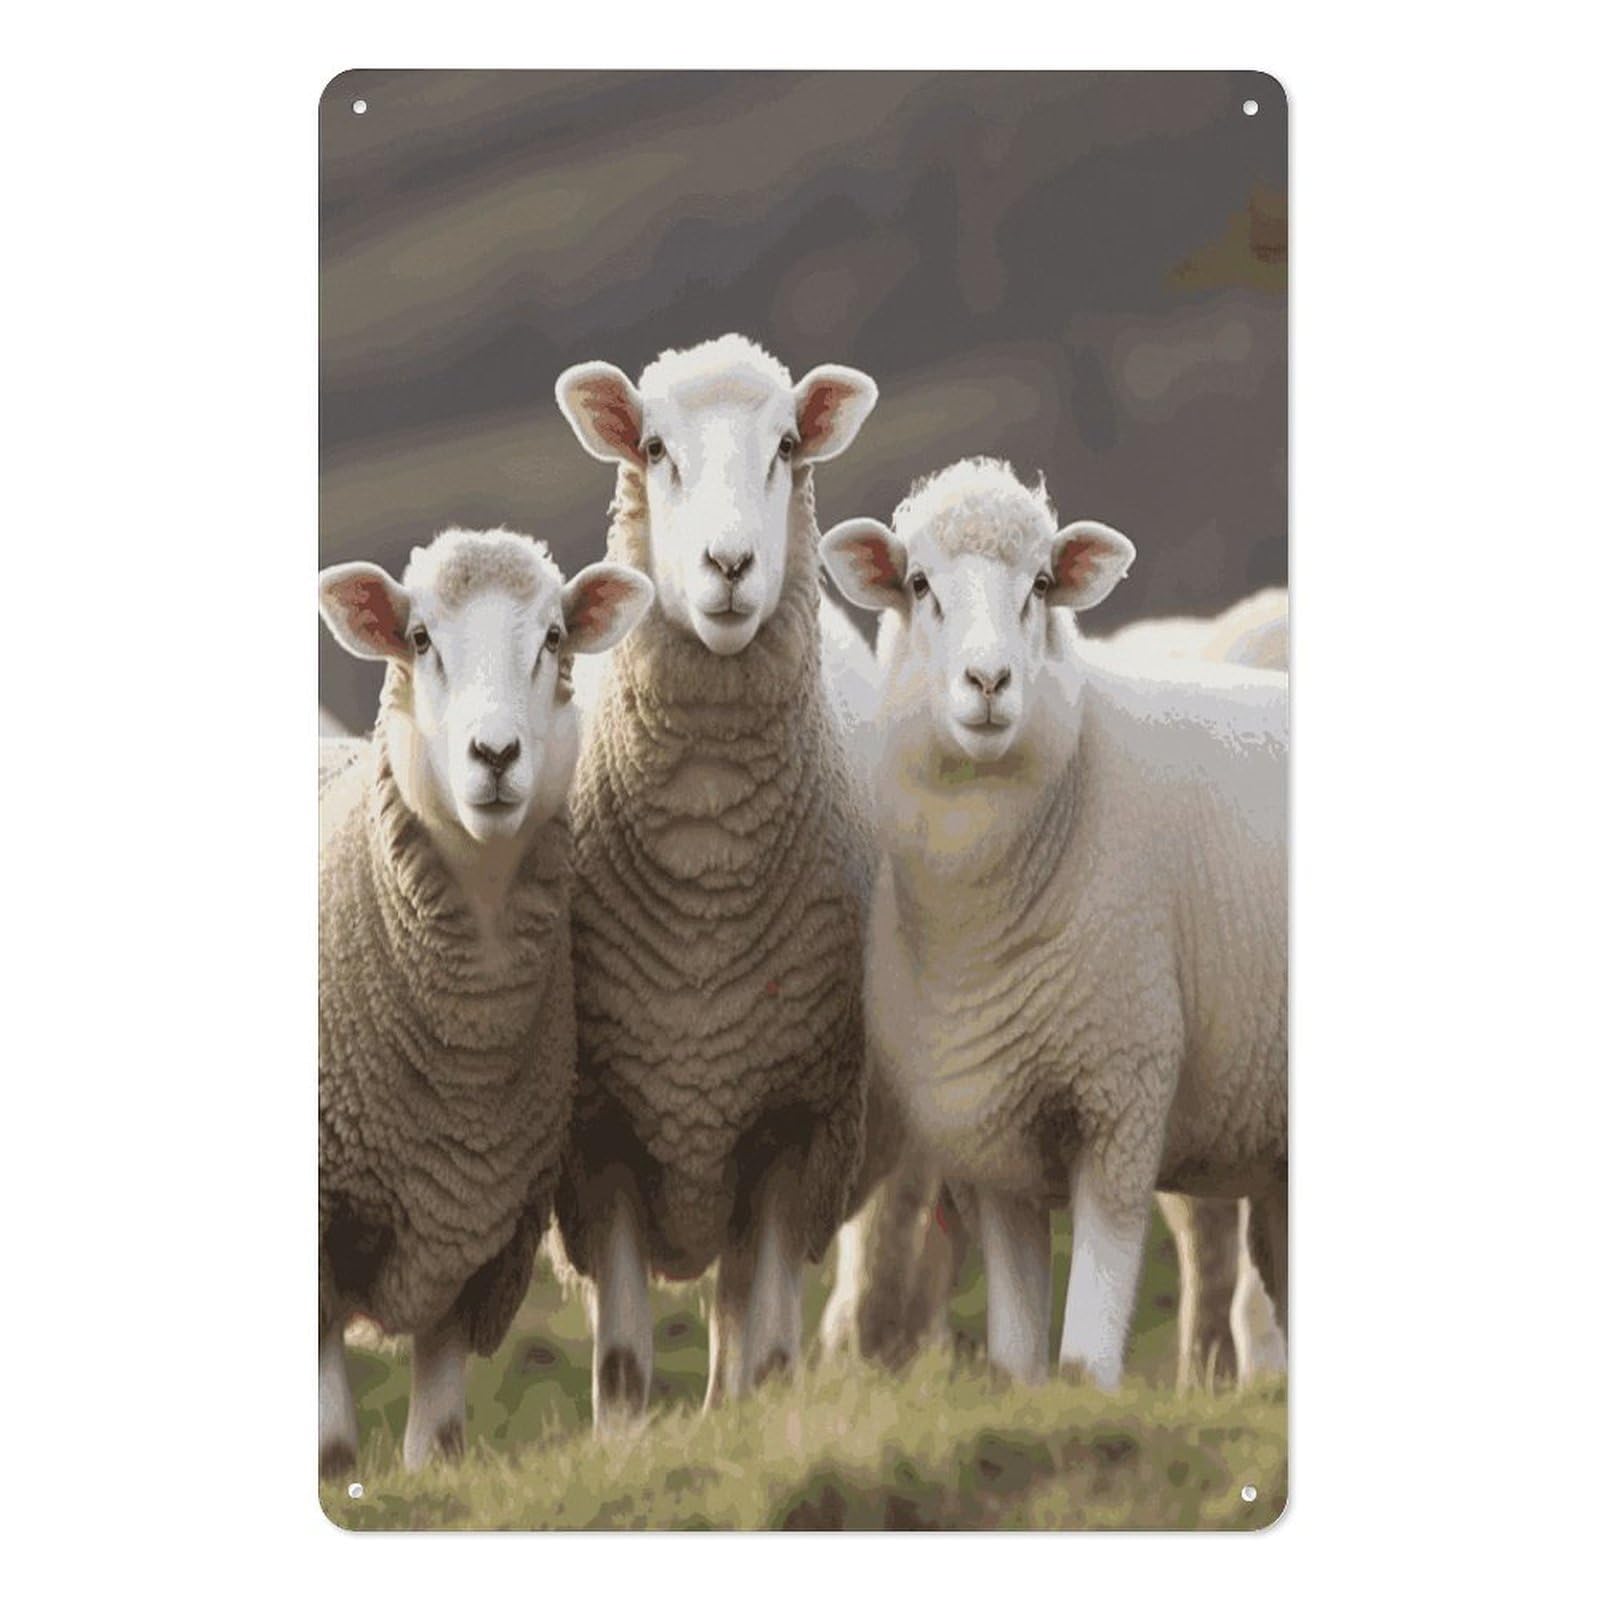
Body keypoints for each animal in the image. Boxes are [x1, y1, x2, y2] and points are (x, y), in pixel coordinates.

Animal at [317, 527, 653, 1475]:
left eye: (553, 638)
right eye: (420, 638)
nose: (495, 757)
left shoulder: (476, 1241)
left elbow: (440, 1445)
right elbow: (335, 1453)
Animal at [549, 333, 879, 1428]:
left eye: (786, 446)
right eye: (654, 448)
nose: (728, 567)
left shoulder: (790, 1124)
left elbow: (770, 1349)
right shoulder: (596, 1136)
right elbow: (619, 1364)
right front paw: (619, 1443)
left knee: (741, 1321)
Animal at [820, 457, 1286, 1388]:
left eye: (1040, 585)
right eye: (919, 584)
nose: (990, 684)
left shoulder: (1123, 1091)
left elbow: (1082, 1346)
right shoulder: (985, 1123)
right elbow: (1015, 1352)